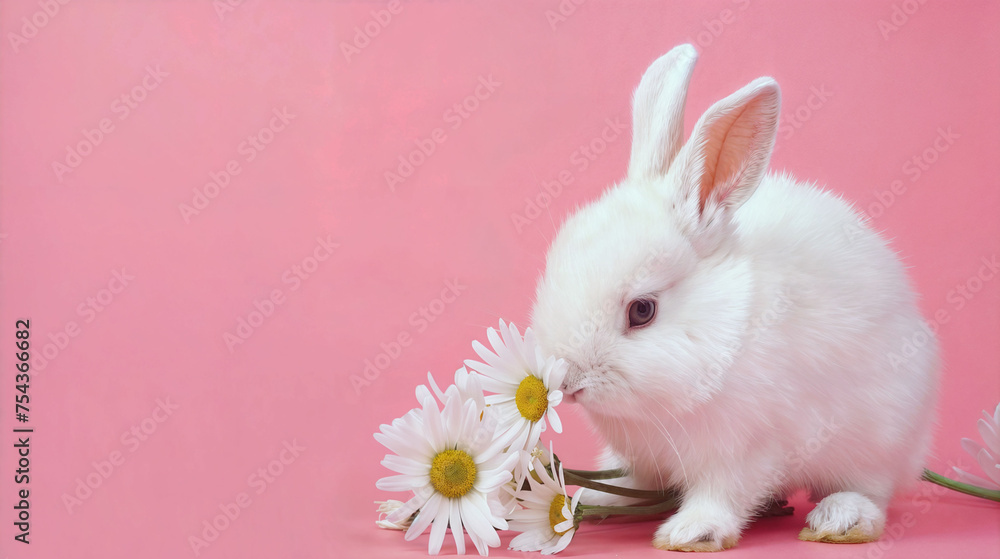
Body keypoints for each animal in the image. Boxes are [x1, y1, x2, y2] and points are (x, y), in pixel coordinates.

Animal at [529, 43, 939, 551]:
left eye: (642, 310)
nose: (569, 383)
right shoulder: (645, 459)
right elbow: (637, 479)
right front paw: (597, 497)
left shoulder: (747, 450)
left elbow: (722, 494)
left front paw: (690, 533)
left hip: (881, 435)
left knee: (873, 489)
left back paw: (840, 518)